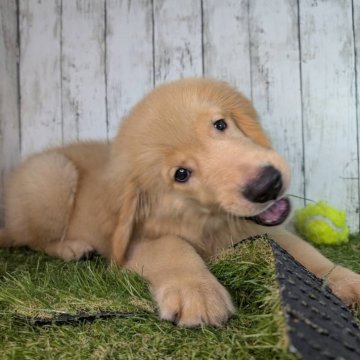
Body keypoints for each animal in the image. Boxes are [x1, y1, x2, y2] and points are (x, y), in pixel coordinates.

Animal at [0, 79, 360, 326]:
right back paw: (71, 247)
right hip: (52, 174)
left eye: (220, 124)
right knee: (31, 238)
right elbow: (172, 246)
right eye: (181, 174)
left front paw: (348, 281)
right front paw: (197, 292)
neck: (209, 222)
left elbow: (306, 253)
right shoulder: (134, 243)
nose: (267, 185)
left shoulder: (263, 230)